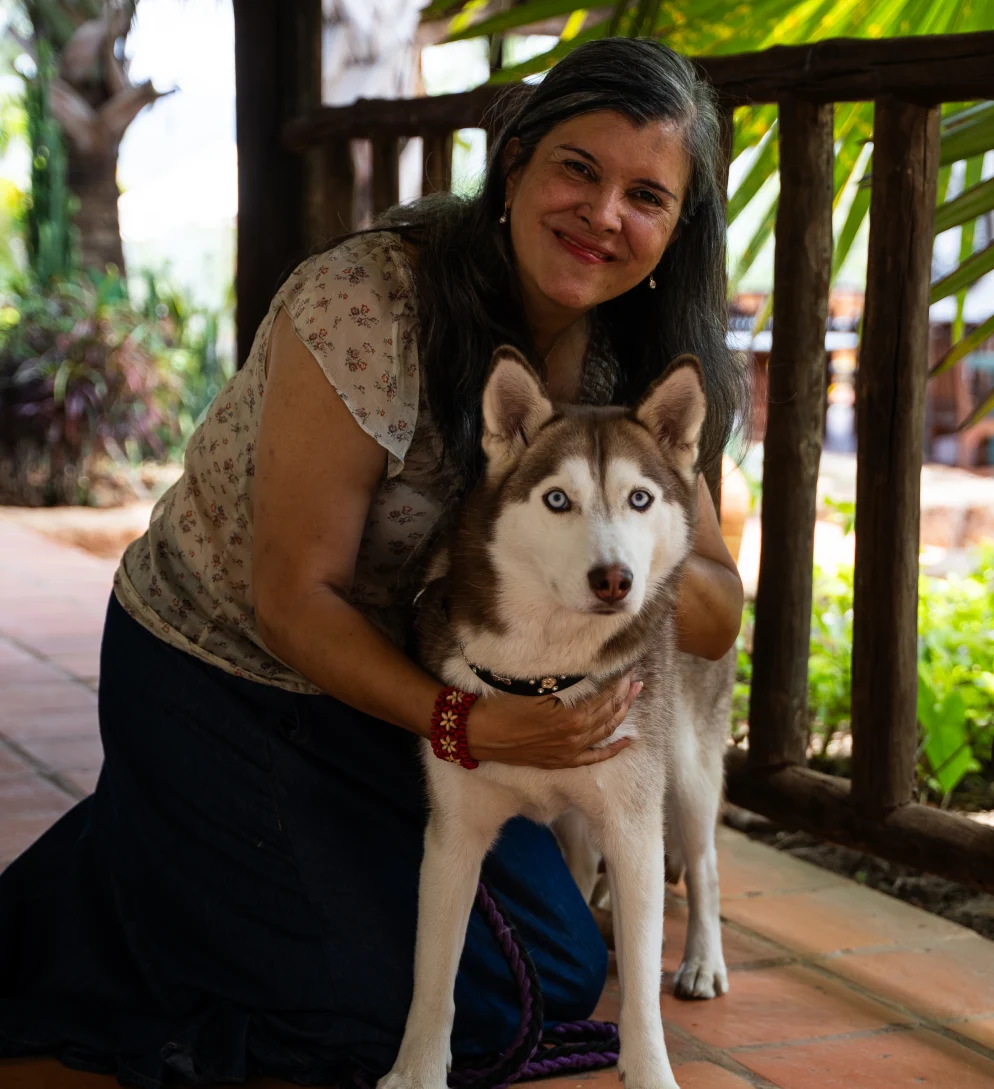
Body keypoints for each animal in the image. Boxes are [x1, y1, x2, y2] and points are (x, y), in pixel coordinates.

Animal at [383, 346, 731, 1089]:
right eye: (557, 499)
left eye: (639, 498)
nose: (615, 579)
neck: (543, 670)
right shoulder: (453, 834)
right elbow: (433, 975)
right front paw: (417, 1069)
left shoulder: (634, 826)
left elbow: (641, 986)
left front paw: (649, 1069)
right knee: (578, 853)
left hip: (686, 766)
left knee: (704, 857)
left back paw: (702, 961)